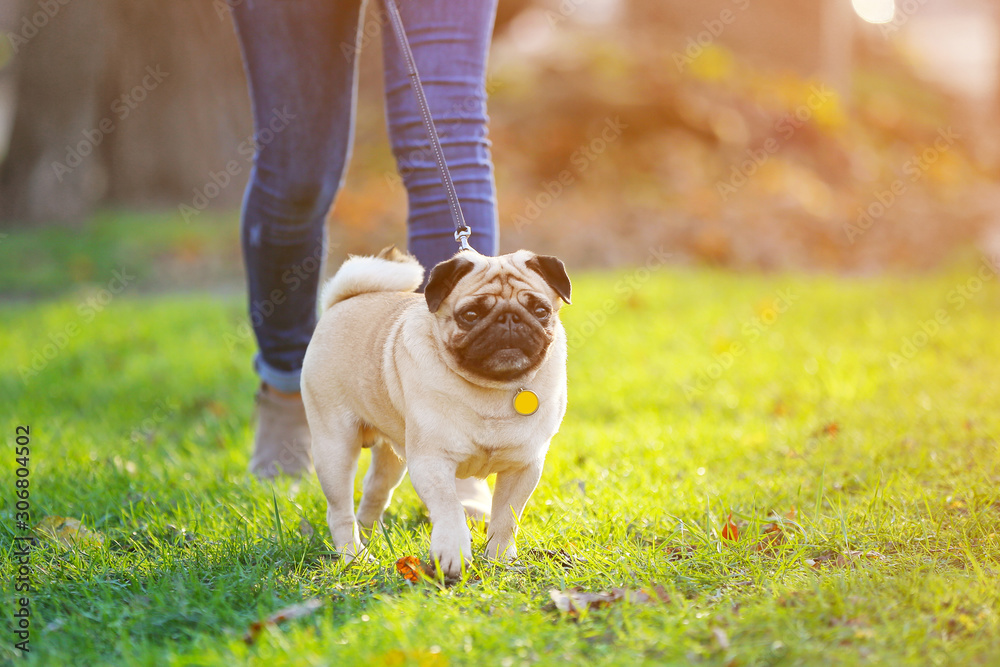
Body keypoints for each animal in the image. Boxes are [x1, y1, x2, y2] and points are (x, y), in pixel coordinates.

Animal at [300, 248, 572, 576]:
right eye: (470, 315)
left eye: (540, 310)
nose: (509, 318)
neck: (495, 388)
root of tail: (341, 302)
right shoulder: (432, 461)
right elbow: (449, 507)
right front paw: (453, 553)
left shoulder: (523, 467)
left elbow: (506, 518)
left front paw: (500, 559)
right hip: (335, 449)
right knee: (339, 511)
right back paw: (355, 557)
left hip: (391, 459)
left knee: (374, 491)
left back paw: (371, 537)